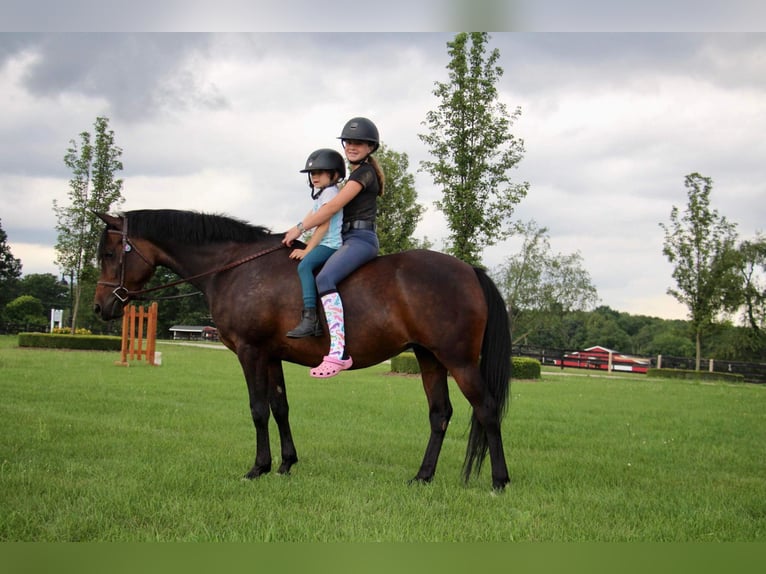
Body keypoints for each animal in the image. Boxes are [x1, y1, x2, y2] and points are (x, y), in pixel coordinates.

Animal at [94, 210, 516, 490]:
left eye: (110, 254)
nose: (100, 307)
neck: (234, 267)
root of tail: (470, 270)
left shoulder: (250, 352)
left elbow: (258, 409)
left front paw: (258, 468)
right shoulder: (271, 356)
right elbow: (280, 407)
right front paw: (285, 465)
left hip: (459, 361)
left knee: (486, 409)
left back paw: (499, 480)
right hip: (429, 359)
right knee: (440, 414)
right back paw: (422, 476)